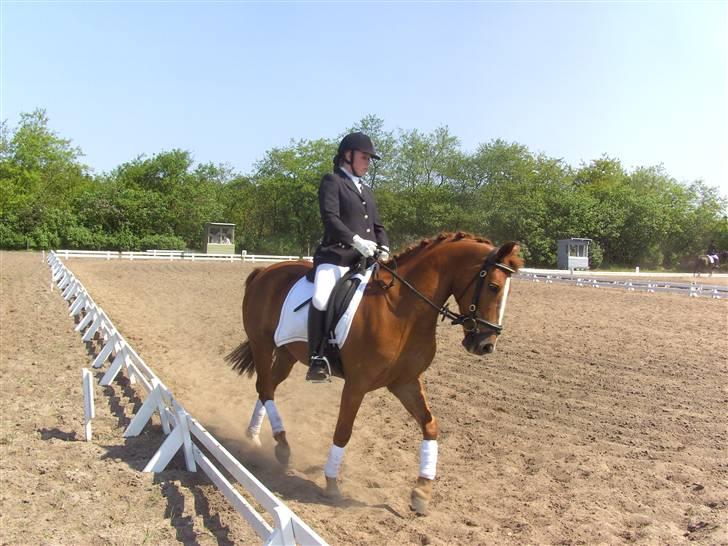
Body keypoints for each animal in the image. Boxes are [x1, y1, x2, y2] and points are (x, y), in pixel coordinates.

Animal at [225, 232, 523, 515]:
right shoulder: (357, 384)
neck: (403, 309)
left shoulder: (405, 382)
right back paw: (281, 445)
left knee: (267, 388)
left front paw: (422, 492)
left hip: (287, 354)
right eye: (494, 286)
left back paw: (256, 437)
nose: (485, 345)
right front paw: (331, 483)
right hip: (262, 345)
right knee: (265, 387)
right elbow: (343, 432)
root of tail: (264, 271)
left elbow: (430, 426)